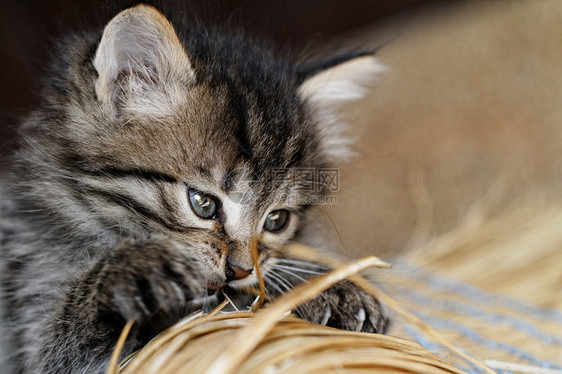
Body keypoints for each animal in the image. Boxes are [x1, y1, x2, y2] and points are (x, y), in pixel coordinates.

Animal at [0, 4, 388, 372]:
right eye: (202, 203)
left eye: (276, 220)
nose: (240, 271)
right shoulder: (32, 323)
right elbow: (63, 339)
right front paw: (135, 267)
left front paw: (328, 286)